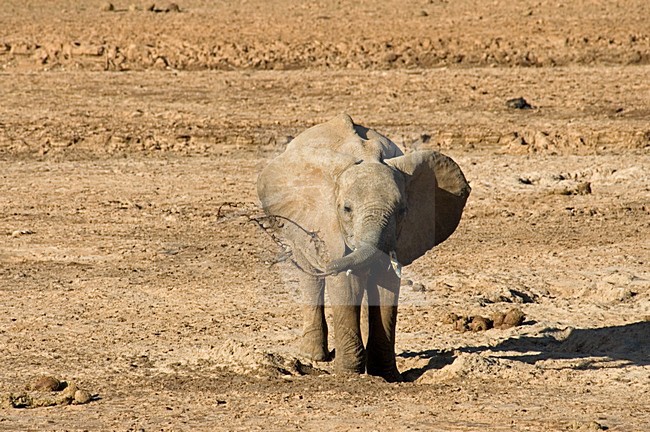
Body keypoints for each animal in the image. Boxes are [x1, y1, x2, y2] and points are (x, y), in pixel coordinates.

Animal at [257, 114, 470, 382]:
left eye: (402, 211)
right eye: (346, 209)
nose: (330, 265)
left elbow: (387, 287)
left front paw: (387, 376)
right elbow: (346, 285)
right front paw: (349, 374)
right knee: (310, 278)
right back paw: (313, 357)